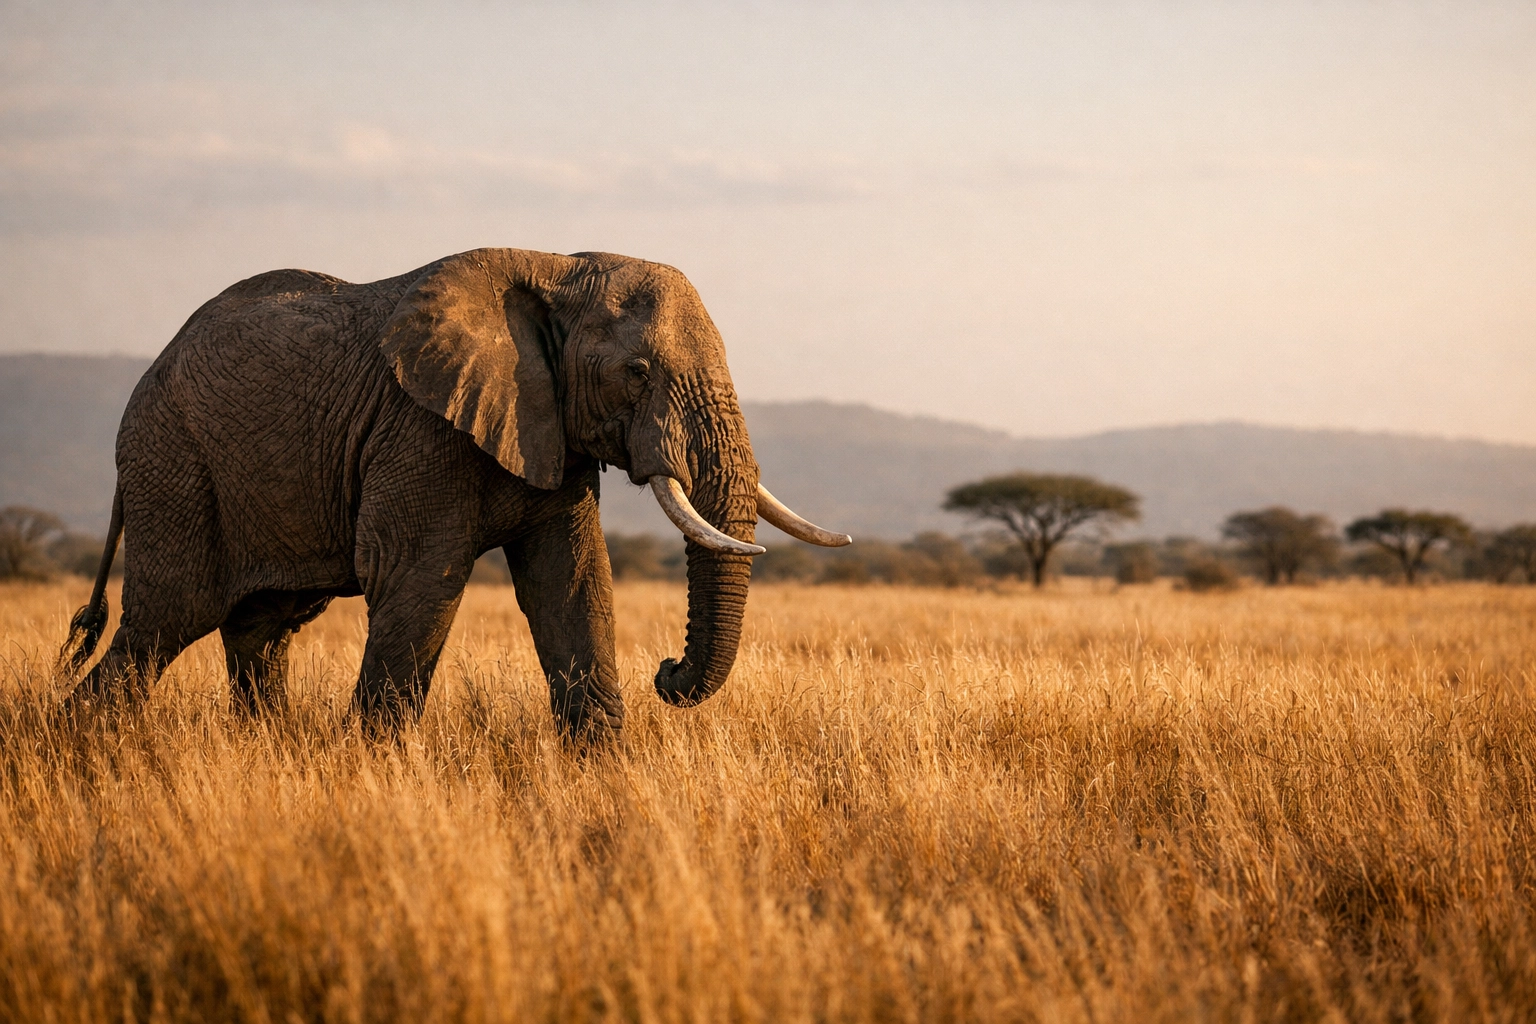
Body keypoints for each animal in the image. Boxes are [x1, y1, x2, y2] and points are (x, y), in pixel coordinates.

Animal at [58, 248, 850, 734]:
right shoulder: (418, 429)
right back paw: (81, 745)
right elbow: (417, 581)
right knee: (166, 620)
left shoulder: (547, 427)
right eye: (638, 372)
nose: (668, 672)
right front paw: (373, 770)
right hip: (173, 464)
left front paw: (603, 774)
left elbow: (573, 583)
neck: (558, 267)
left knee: (262, 627)